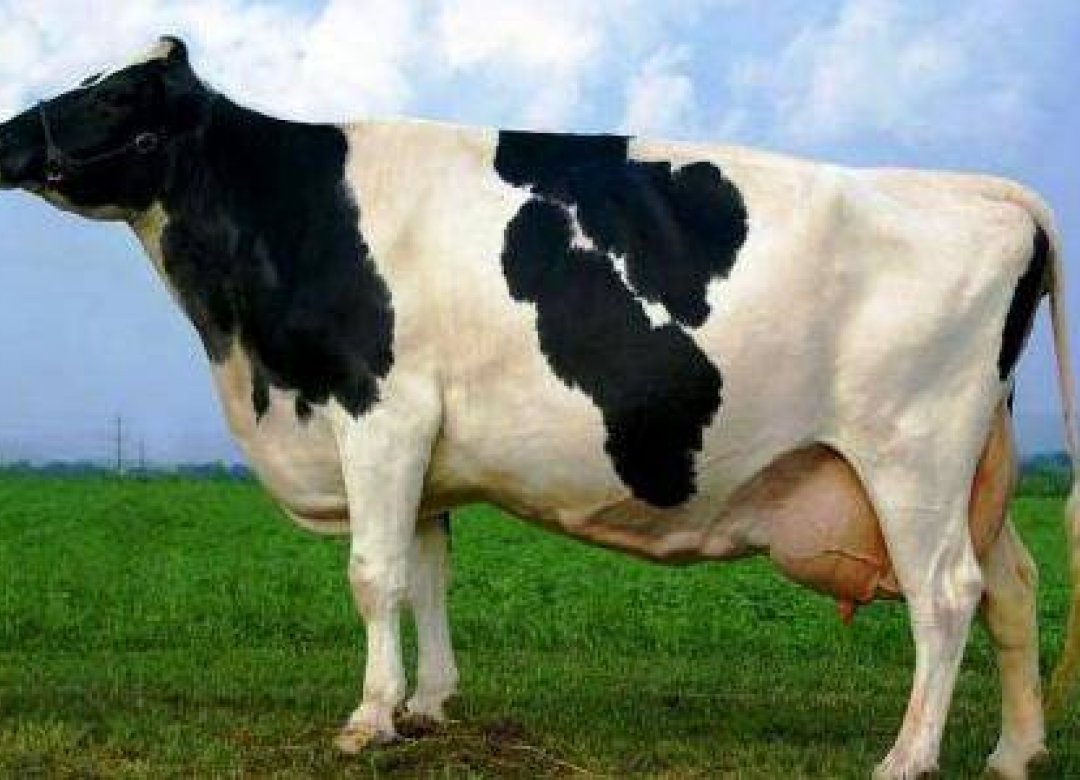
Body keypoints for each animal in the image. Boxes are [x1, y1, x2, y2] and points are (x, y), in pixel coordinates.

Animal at [0, 37, 1076, 779]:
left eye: (115, 94)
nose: (11, 136)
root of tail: (980, 191)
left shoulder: (380, 412)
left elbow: (374, 575)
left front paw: (369, 719)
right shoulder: (426, 449)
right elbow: (428, 576)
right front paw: (430, 706)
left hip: (912, 450)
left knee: (947, 595)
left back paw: (908, 758)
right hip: (979, 461)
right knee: (1015, 587)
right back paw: (1012, 753)